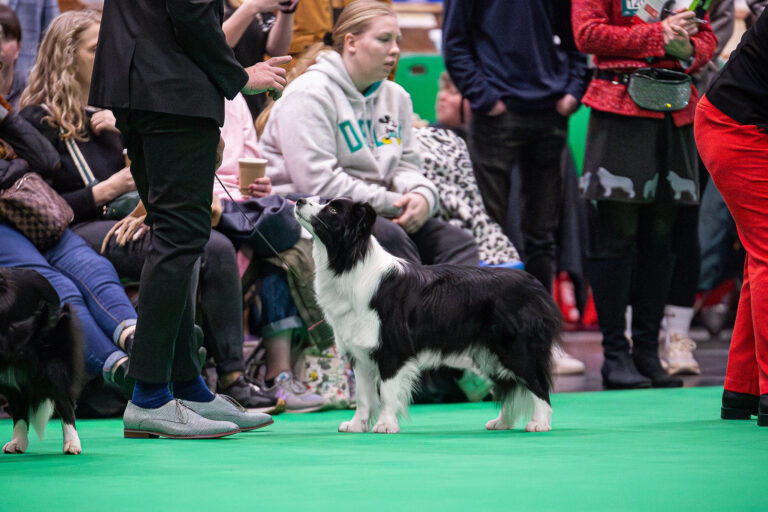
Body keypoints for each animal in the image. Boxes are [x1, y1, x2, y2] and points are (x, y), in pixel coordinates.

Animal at [294, 198, 560, 434]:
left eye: (333, 210)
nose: (298, 201)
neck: (349, 264)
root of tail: (535, 285)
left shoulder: (392, 349)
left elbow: (387, 393)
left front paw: (385, 425)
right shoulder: (360, 353)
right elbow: (363, 396)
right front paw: (356, 426)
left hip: (517, 347)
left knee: (537, 384)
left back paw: (539, 423)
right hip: (493, 353)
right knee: (510, 385)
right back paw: (502, 422)